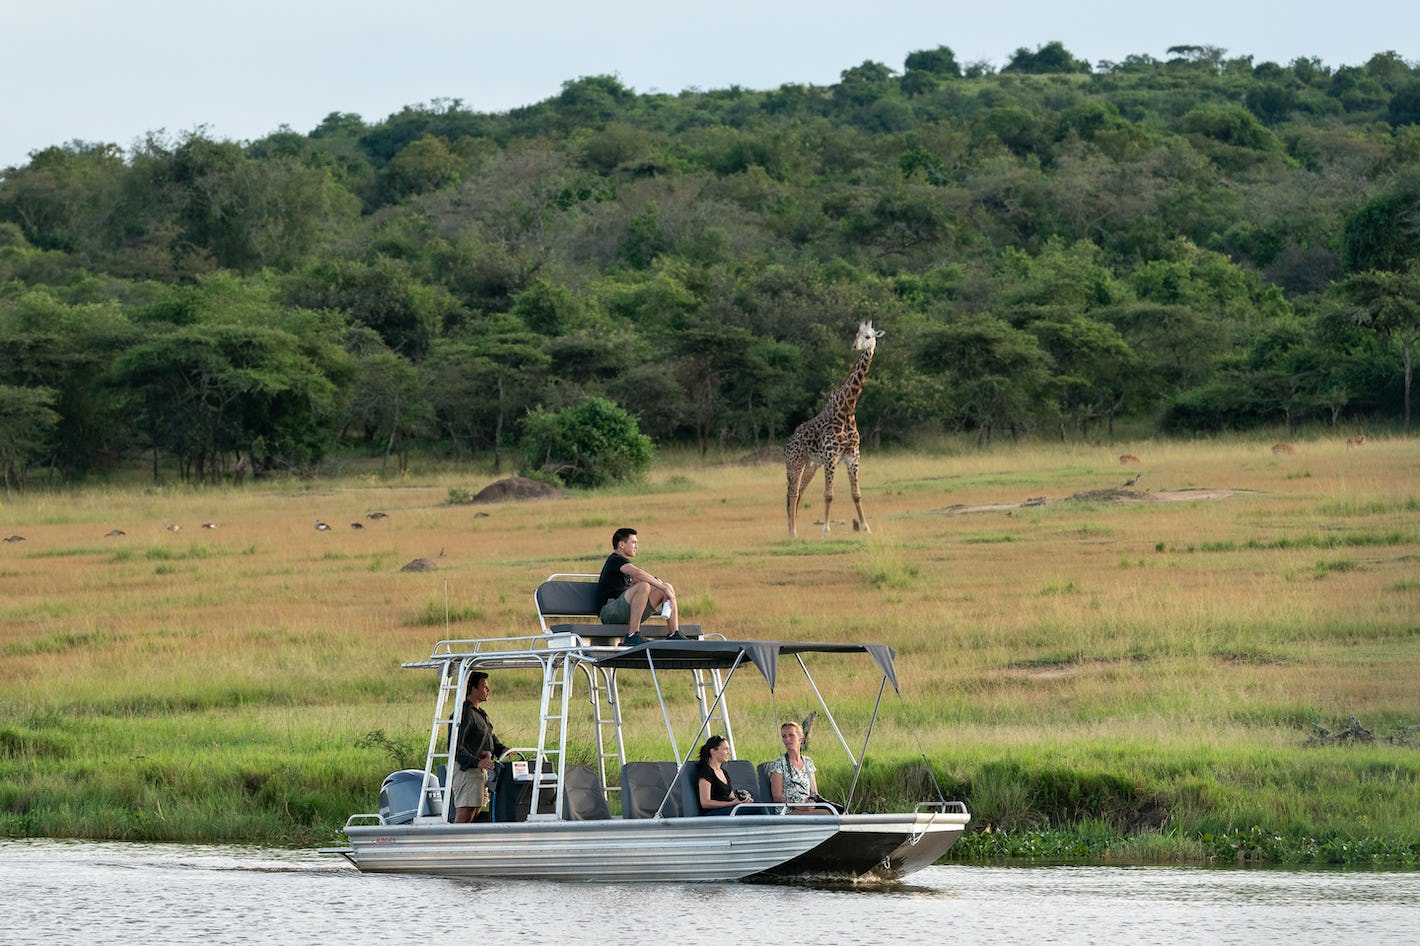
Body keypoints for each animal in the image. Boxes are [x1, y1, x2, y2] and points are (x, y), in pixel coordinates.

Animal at [783, 321, 880, 534]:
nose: (855, 346)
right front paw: (826, 530)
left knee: (799, 491)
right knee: (792, 493)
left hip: (811, 465)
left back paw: (793, 529)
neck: (847, 410)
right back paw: (792, 532)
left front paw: (865, 527)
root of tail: (787, 443)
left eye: (869, 336)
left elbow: (856, 493)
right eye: (856, 334)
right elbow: (828, 494)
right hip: (794, 463)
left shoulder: (853, 455)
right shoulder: (831, 456)